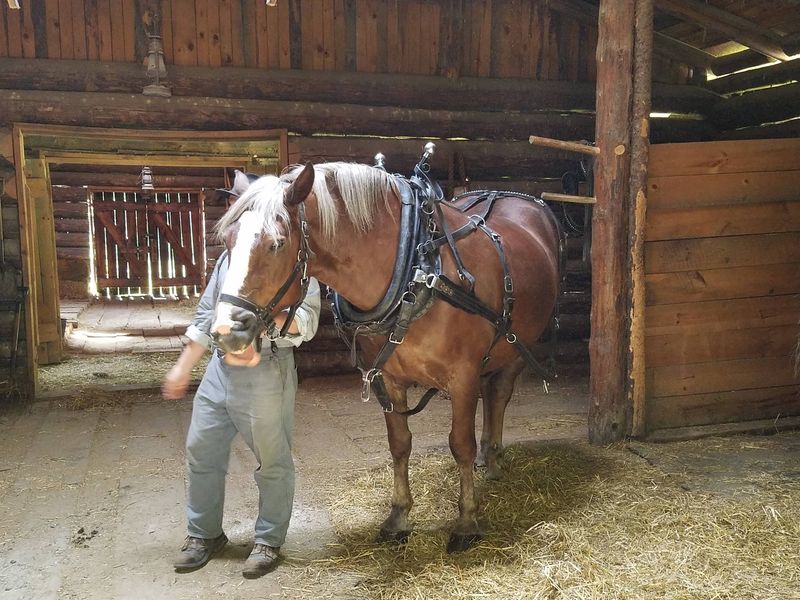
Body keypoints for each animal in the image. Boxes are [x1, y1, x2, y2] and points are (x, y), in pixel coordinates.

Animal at [210, 151, 561, 552]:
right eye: (227, 241)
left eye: (277, 243)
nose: (226, 330)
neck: (417, 267)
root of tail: (503, 194)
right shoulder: (389, 379)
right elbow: (399, 444)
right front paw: (399, 516)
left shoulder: (463, 377)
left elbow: (460, 444)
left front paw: (466, 520)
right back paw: (490, 458)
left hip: (518, 347)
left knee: (499, 394)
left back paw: (494, 458)